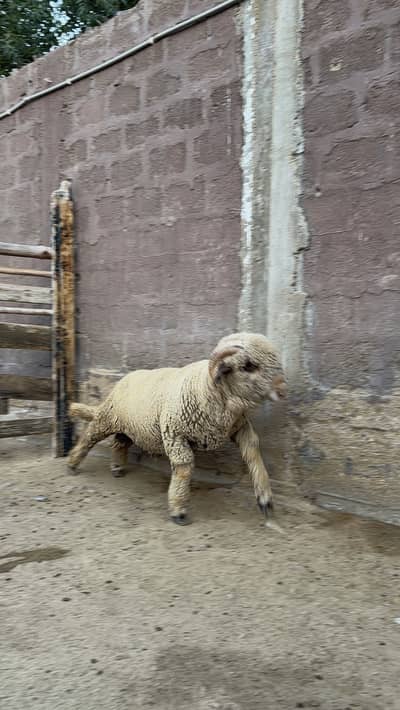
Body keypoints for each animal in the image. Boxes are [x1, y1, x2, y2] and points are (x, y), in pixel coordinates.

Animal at [68, 332, 287, 525]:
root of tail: (125, 378)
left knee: (119, 443)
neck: (206, 387)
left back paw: (117, 468)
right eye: (249, 366)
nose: (282, 389)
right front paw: (178, 510)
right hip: (107, 418)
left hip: (130, 427)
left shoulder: (239, 427)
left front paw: (265, 499)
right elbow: (184, 467)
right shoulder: (174, 434)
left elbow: (252, 451)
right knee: (89, 436)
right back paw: (72, 464)